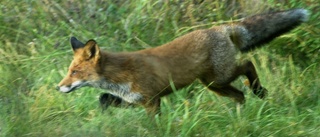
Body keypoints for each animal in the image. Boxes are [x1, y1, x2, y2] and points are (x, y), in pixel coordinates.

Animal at [57, 8, 308, 115]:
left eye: (75, 72)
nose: (58, 87)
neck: (120, 75)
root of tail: (219, 27)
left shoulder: (151, 101)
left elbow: (154, 124)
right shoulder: (134, 100)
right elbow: (103, 99)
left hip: (221, 76)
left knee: (247, 64)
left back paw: (259, 91)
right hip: (214, 84)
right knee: (239, 95)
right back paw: (240, 117)